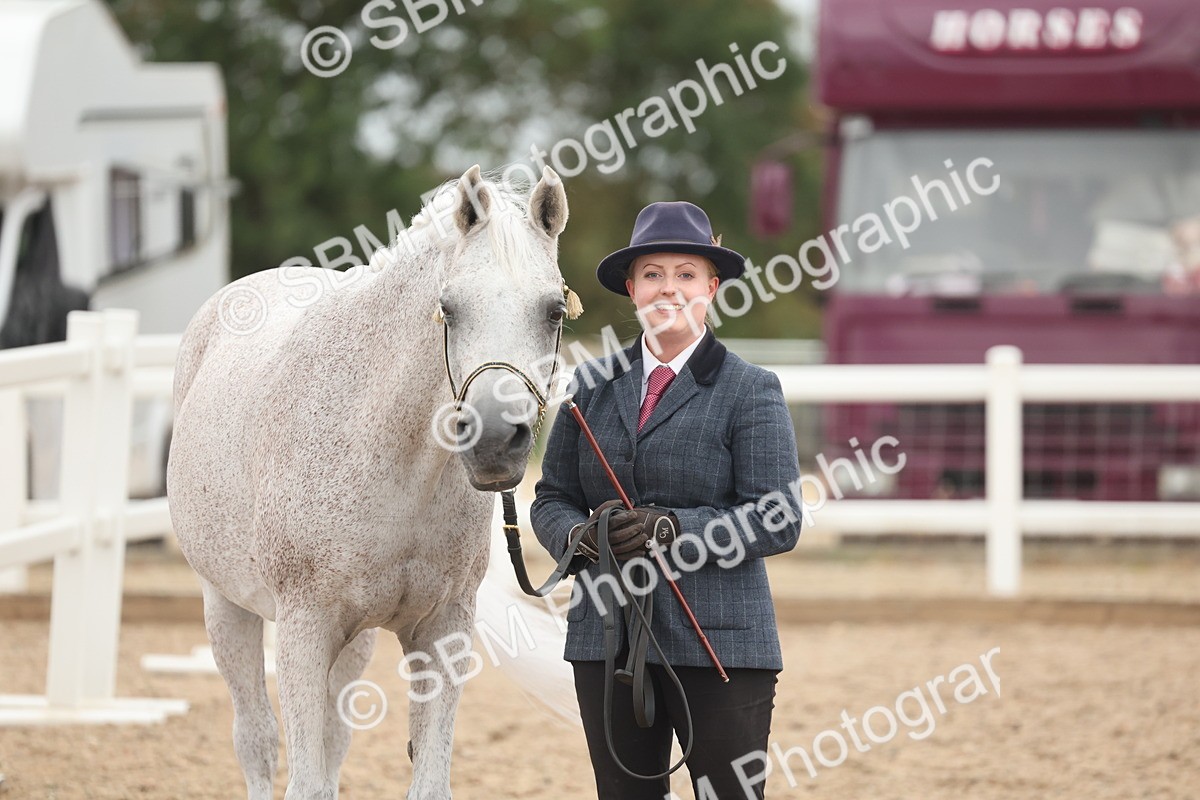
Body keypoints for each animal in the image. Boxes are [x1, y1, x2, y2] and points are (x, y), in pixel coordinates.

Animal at [166, 165, 575, 800]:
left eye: (553, 310)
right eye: (448, 308)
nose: (492, 441)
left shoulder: (441, 631)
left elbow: (424, 780)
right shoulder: (304, 632)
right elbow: (302, 780)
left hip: (353, 641)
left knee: (334, 739)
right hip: (226, 606)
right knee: (256, 739)